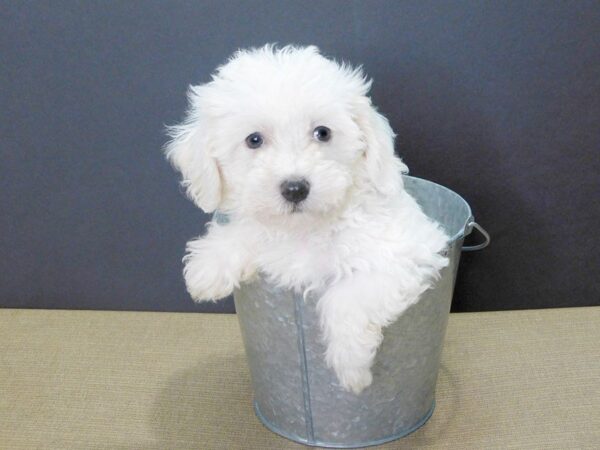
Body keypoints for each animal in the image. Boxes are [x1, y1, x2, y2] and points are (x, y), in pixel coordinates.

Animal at [166, 44, 448, 392]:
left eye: (322, 133)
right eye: (254, 140)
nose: (295, 188)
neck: (306, 228)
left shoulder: (406, 256)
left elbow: (346, 296)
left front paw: (351, 366)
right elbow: (250, 232)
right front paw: (210, 265)